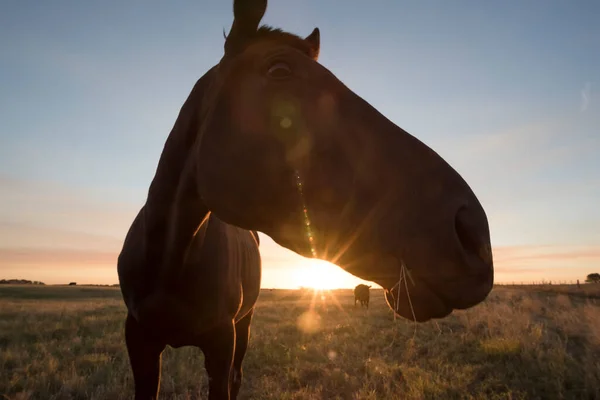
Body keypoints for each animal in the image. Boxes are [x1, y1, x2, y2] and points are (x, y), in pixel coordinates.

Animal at [116, 1, 492, 398]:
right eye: (279, 70)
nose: (473, 233)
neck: (170, 262)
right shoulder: (138, 340)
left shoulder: (222, 342)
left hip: (244, 326)